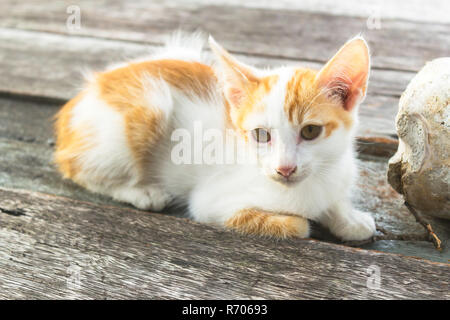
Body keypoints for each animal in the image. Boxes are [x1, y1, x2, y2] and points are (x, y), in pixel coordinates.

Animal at [52, 31, 376, 240]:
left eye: (310, 131)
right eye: (261, 135)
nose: (284, 168)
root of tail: (86, 92)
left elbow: (335, 201)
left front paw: (349, 219)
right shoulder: (209, 204)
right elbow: (297, 226)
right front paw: (304, 220)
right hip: (148, 107)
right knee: (76, 168)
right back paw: (141, 192)